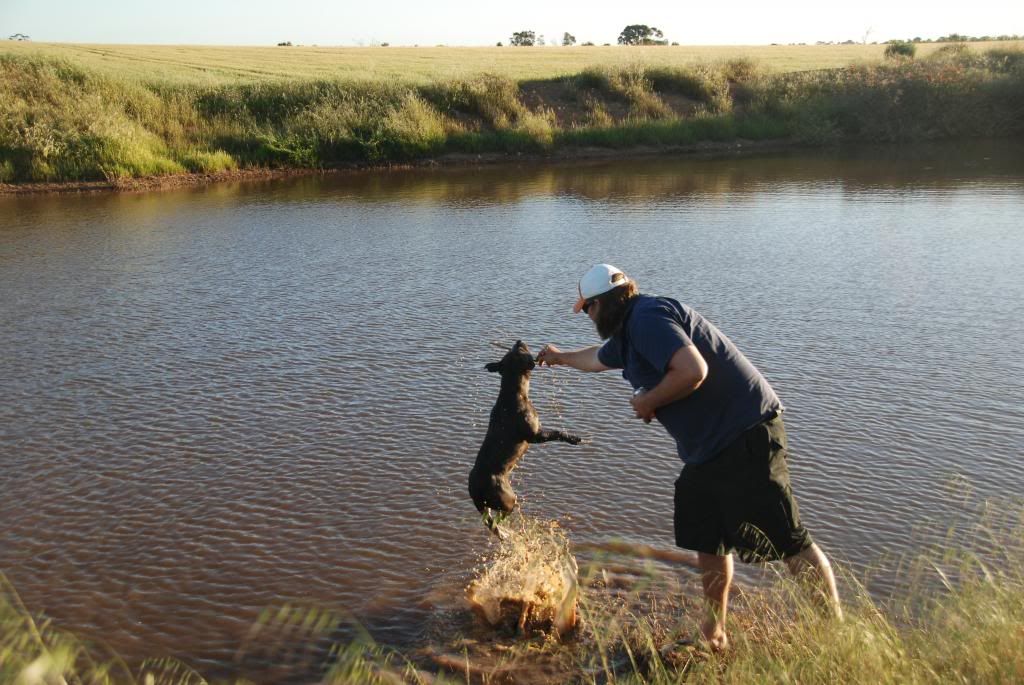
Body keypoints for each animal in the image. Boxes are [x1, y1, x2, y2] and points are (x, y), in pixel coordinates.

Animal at [468, 339, 581, 532]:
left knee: (489, 519)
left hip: (484, 503)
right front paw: (572, 438)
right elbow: (557, 432)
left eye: (515, 347)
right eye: (521, 349)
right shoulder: (534, 436)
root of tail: (476, 488)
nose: (519, 340)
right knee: (498, 519)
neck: (514, 392)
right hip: (508, 499)